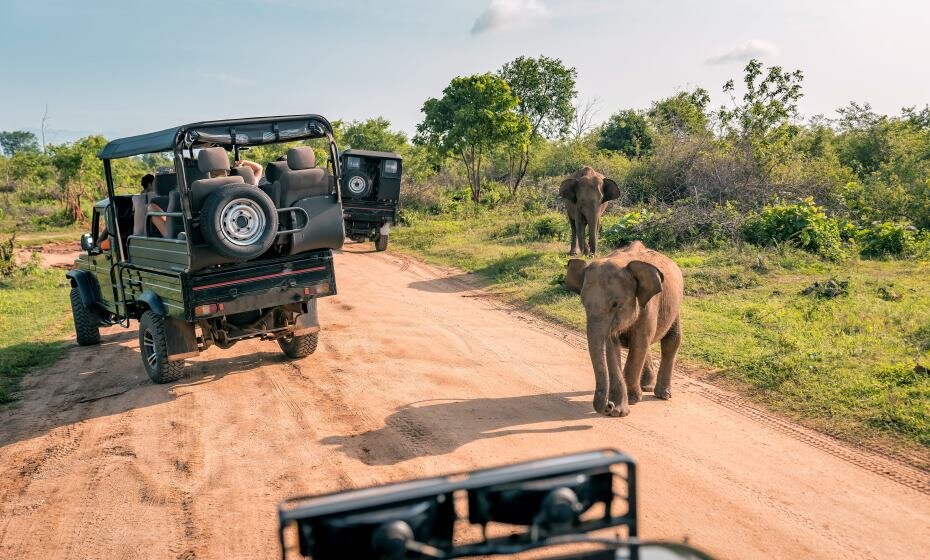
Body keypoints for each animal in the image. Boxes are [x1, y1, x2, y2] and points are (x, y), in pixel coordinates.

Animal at [560, 241, 684, 416]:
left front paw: (631, 400)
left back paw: (662, 395)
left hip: (676, 305)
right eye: (583, 304)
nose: (608, 405)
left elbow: (639, 342)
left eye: (615, 304)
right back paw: (646, 386)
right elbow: (612, 346)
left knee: (671, 340)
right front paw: (619, 410)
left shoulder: (649, 306)